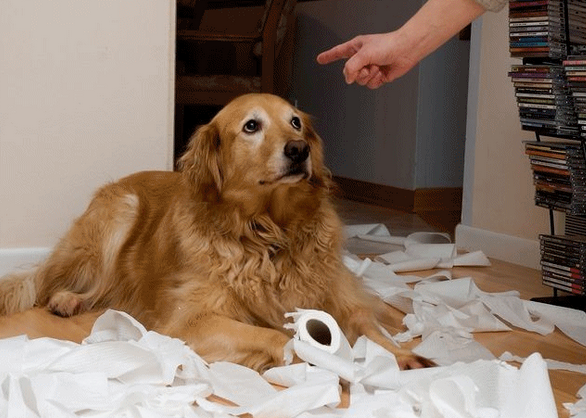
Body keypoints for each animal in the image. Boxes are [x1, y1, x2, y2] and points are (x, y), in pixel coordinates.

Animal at [0, 94, 428, 370]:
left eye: (296, 122)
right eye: (251, 126)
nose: (299, 149)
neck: (269, 232)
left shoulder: (341, 299)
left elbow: (369, 328)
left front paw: (403, 357)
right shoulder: (189, 321)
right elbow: (277, 336)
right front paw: (311, 356)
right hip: (118, 216)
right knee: (60, 281)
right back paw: (66, 298)